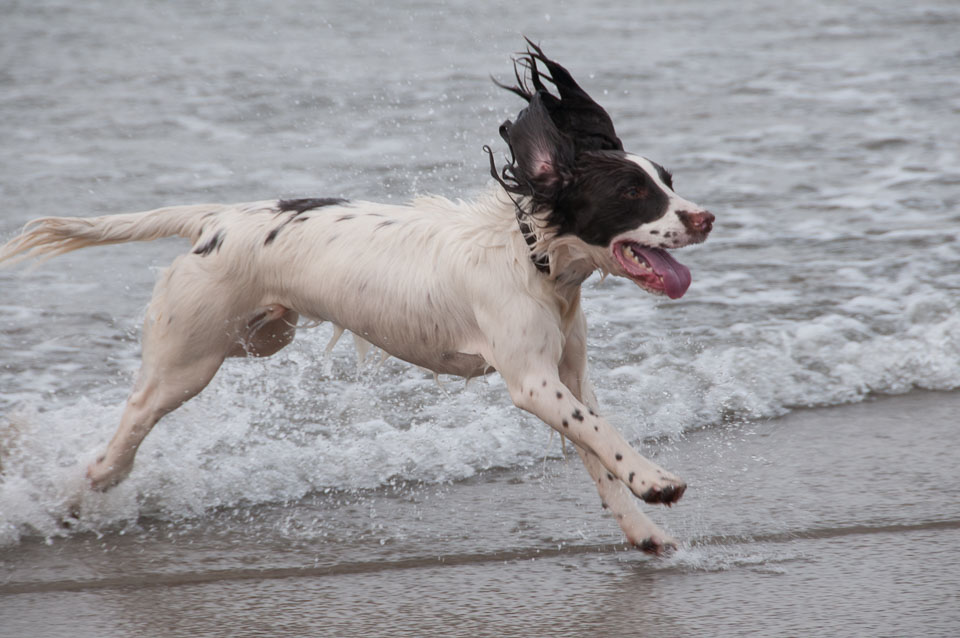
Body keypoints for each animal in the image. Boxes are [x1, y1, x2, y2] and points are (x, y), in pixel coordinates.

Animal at [0, 41, 712, 556]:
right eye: (632, 193)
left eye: (669, 180)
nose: (705, 218)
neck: (530, 258)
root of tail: (218, 218)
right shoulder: (533, 382)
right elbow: (604, 436)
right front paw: (657, 481)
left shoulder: (569, 374)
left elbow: (598, 451)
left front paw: (644, 528)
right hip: (188, 359)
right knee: (132, 422)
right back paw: (88, 486)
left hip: (264, 336)